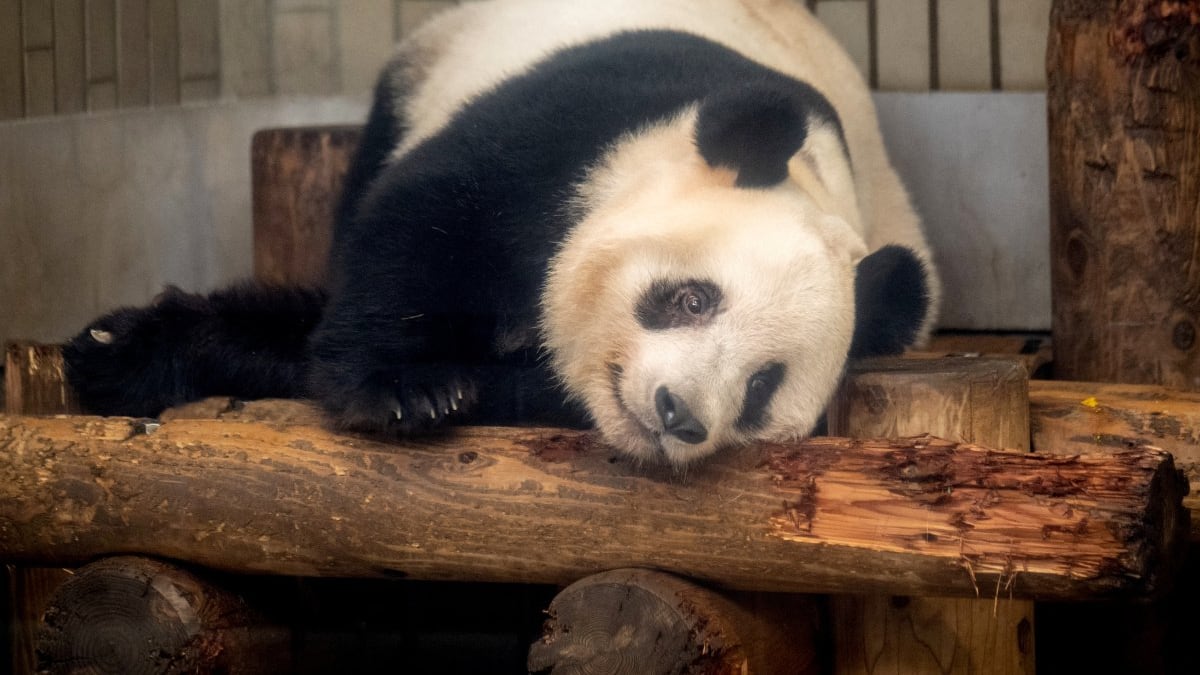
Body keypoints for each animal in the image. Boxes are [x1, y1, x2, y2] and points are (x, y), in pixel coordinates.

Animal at [64, 0, 939, 467]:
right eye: (691, 298)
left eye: (761, 386)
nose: (678, 413)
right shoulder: (583, 127)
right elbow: (417, 228)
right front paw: (407, 389)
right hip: (425, 64)